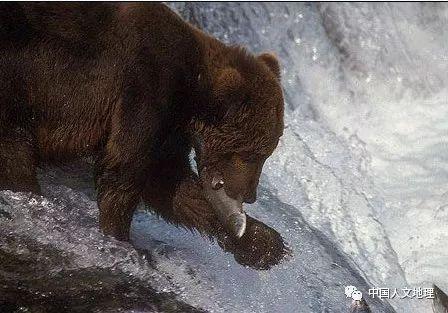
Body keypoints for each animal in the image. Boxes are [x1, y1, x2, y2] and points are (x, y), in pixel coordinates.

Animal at [0, 3, 288, 268]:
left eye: (266, 153)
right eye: (250, 154)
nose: (249, 195)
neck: (192, 96)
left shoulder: (171, 129)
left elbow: (170, 183)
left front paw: (264, 243)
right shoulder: (146, 88)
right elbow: (124, 170)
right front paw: (121, 240)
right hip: (21, 86)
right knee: (16, 152)